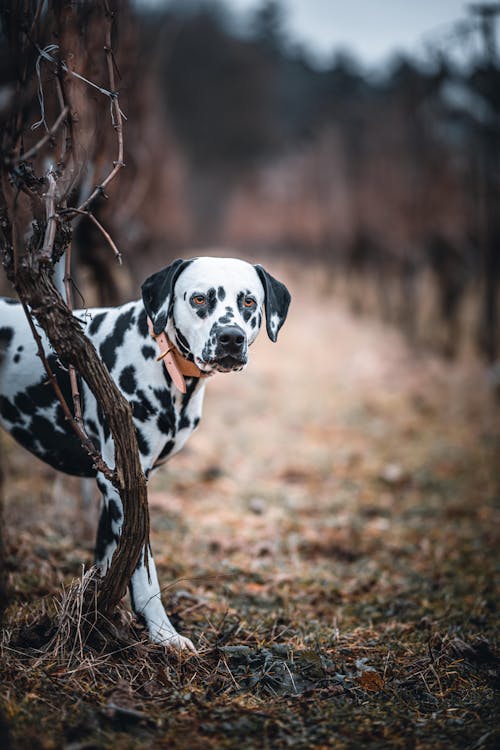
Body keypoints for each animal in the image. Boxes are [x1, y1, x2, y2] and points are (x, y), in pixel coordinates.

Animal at [0, 258, 292, 652]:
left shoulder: (118, 491)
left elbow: (108, 559)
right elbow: (143, 568)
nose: (231, 337)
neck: (161, 359)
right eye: (199, 299)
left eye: (248, 302)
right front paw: (162, 632)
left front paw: (99, 618)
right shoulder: (125, 484)